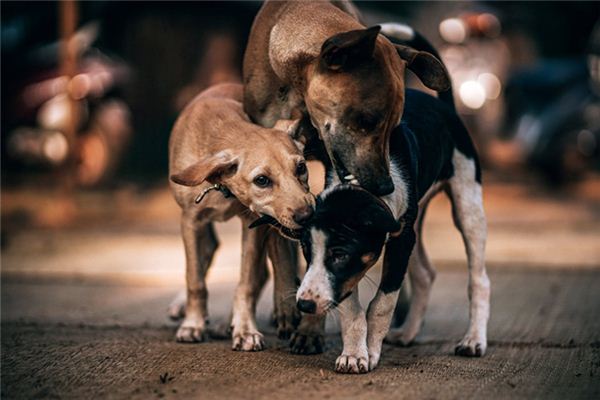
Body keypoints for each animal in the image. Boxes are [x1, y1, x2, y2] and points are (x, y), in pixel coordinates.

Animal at [168, 83, 314, 350]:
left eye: (301, 168)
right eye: (262, 180)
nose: (308, 215)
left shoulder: (252, 224)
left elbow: (246, 284)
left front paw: (245, 329)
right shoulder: (191, 221)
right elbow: (195, 279)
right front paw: (192, 324)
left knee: (265, 270)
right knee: (207, 252)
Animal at [292, 86, 492, 372]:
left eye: (340, 254)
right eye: (306, 252)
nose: (305, 304)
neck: (364, 182)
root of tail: (445, 106)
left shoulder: (400, 240)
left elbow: (382, 303)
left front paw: (370, 352)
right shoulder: (379, 252)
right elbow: (351, 307)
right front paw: (354, 354)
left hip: (468, 205)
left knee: (479, 279)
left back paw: (474, 340)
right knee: (425, 274)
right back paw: (408, 332)